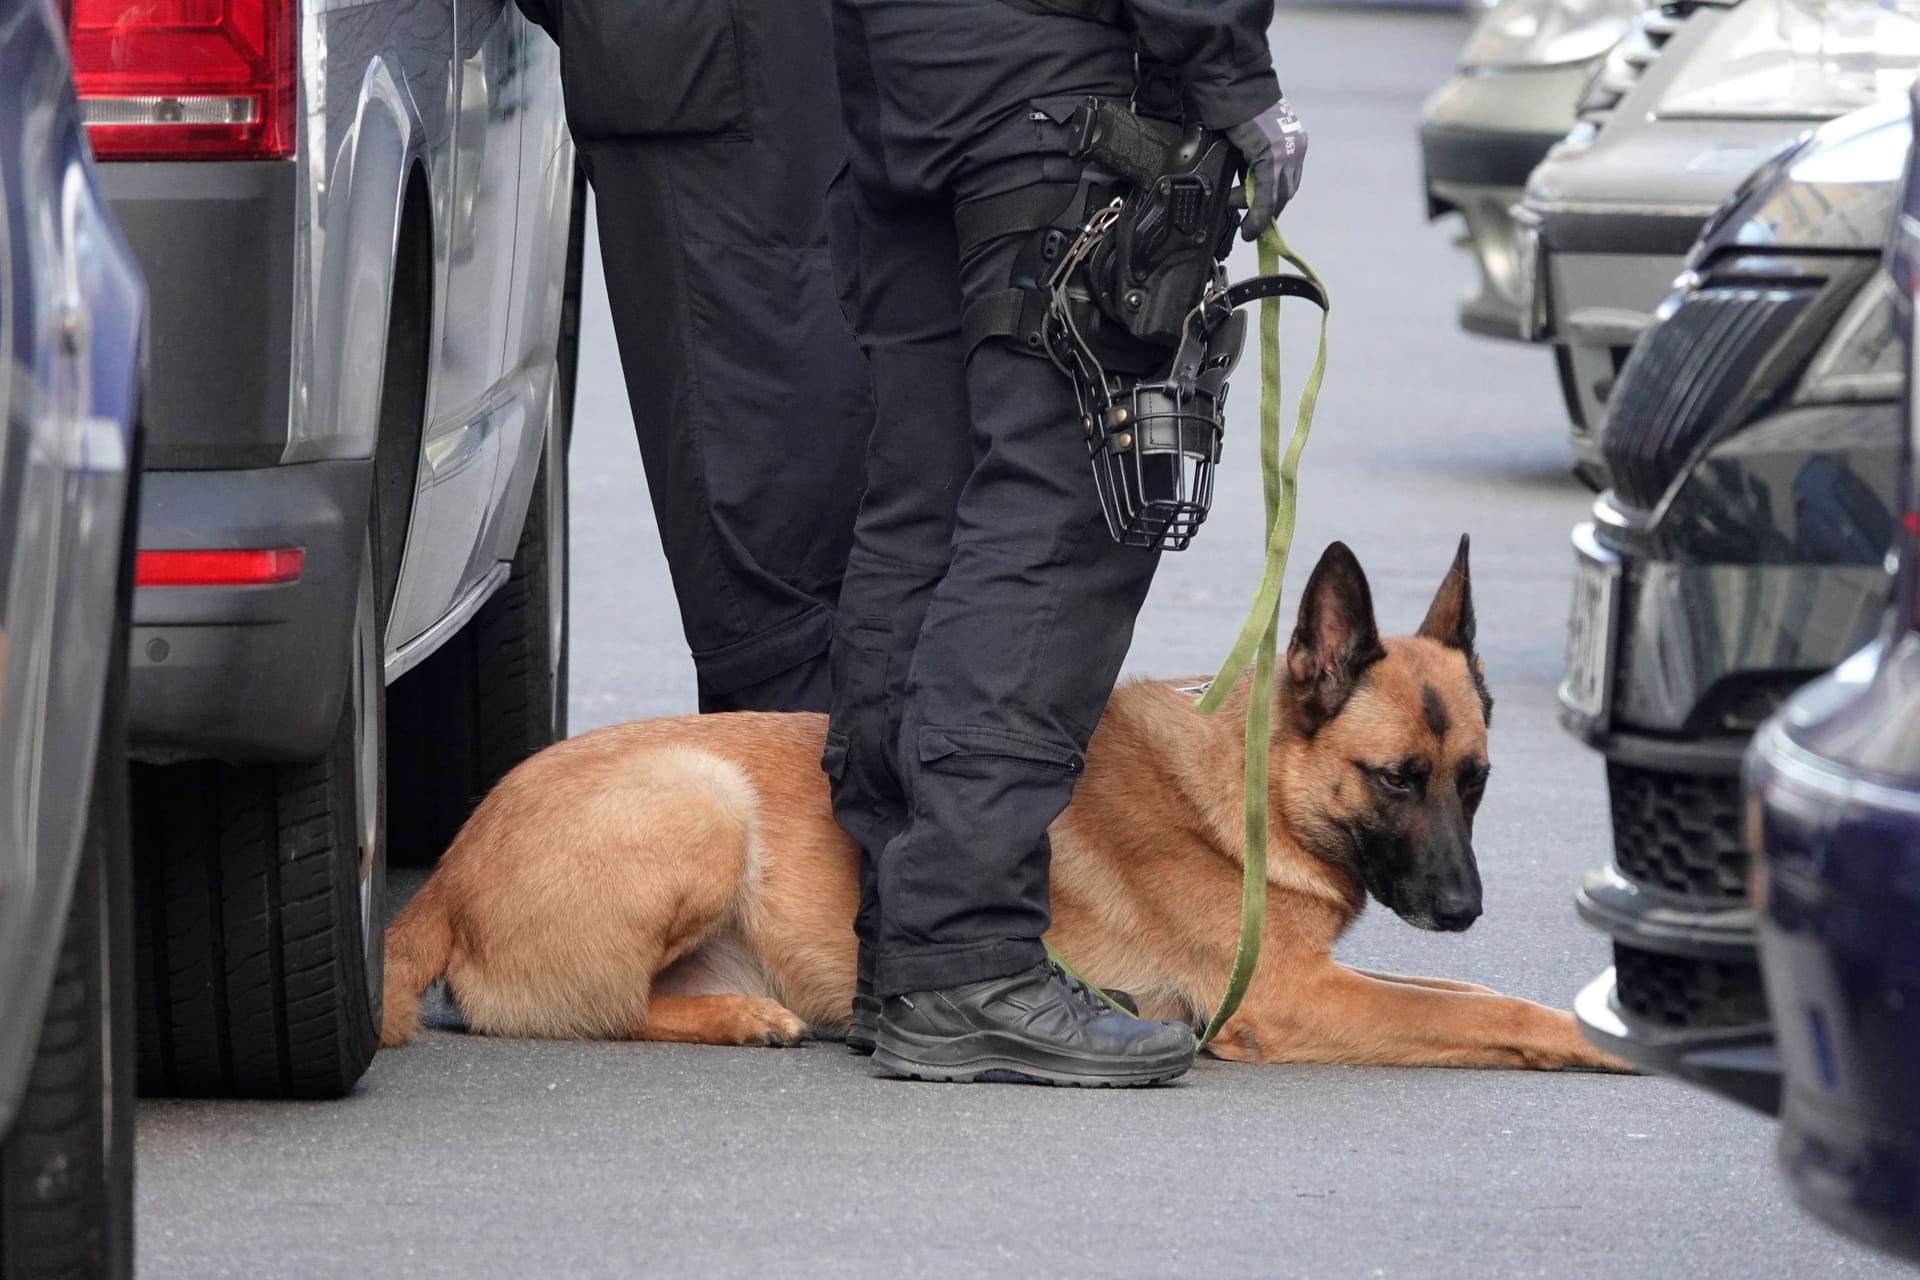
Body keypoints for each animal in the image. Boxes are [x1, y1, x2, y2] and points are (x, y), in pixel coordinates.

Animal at [382, 541, 1628, 1074]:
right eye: (1395, 778)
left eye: (1474, 779)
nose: (1464, 906)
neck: (1248, 790)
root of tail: (445, 872)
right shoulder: (1297, 1001)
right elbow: (1488, 1008)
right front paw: (1598, 1039)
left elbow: (1479, 994)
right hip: (702, 799)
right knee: (580, 1011)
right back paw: (742, 1019)